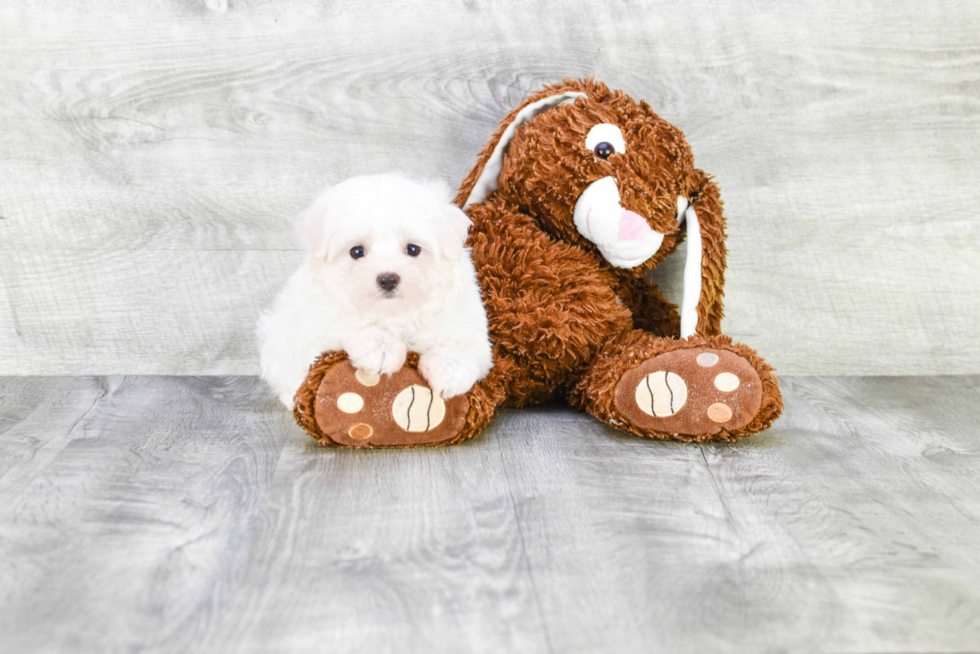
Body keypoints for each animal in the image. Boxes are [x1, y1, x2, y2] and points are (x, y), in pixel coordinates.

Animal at [258, 174, 494, 410]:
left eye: (413, 249)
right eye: (356, 251)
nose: (388, 279)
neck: (395, 314)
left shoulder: (465, 319)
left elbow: (466, 344)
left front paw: (449, 370)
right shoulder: (320, 318)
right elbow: (349, 322)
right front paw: (382, 348)